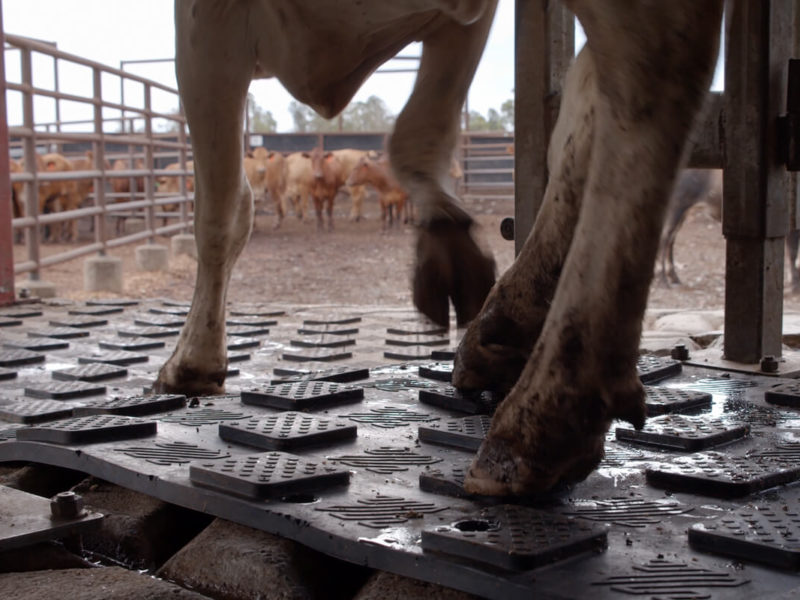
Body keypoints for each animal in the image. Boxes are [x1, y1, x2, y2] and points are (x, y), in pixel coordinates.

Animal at [157, 0, 723, 498]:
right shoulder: (462, 18)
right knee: (602, 92)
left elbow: (223, 209)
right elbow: (422, 129)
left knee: (644, 54)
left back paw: (542, 420)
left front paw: (193, 362)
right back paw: (500, 332)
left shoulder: (205, 24)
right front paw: (450, 249)